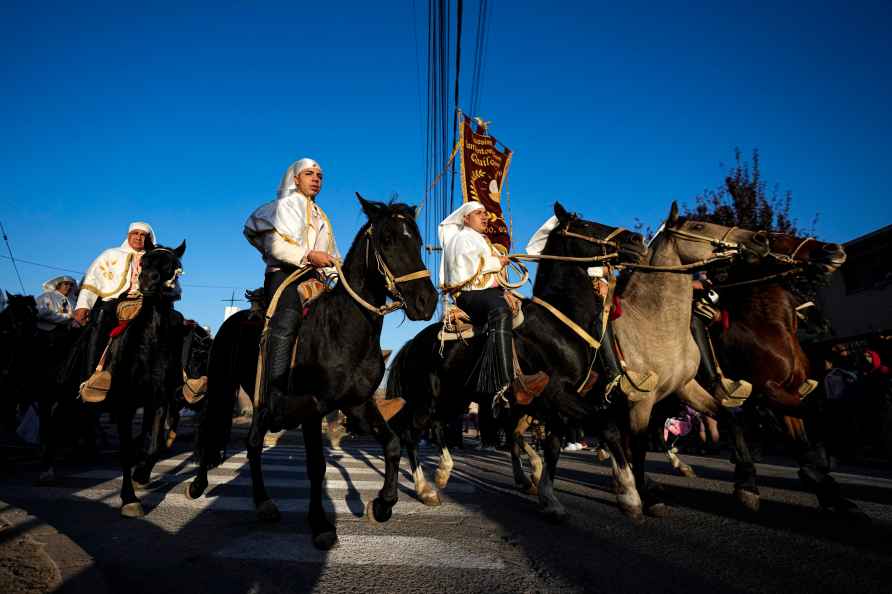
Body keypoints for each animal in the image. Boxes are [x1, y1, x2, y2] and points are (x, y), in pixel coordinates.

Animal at [190, 197, 438, 548]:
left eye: (417, 241)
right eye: (387, 239)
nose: (426, 301)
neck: (343, 330)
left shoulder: (357, 404)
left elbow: (391, 444)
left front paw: (382, 504)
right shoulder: (311, 406)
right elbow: (317, 466)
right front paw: (320, 523)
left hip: (260, 401)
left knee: (253, 443)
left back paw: (264, 503)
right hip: (222, 385)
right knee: (210, 427)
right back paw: (199, 484)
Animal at [388, 202, 648, 520]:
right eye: (585, 225)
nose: (636, 240)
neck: (558, 324)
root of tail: (412, 344)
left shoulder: (557, 404)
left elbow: (553, 447)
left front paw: (549, 497)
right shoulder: (558, 394)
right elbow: (607, 426)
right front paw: (629, 494)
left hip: (454, 400)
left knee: (439, 429)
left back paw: (444, 473)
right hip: (428, 400)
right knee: (410, 433)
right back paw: (425, 489)